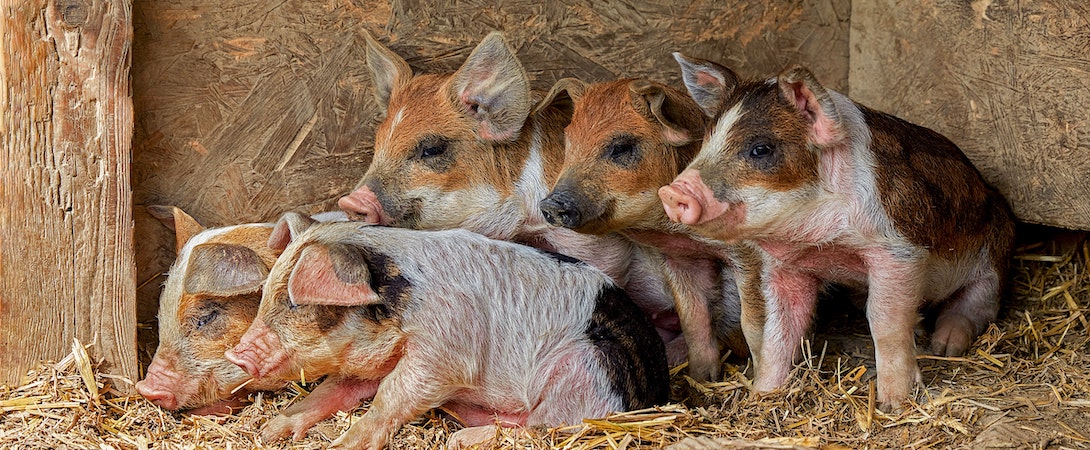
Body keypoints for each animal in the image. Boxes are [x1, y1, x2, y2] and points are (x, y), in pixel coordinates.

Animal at [225, 213, 670, 450]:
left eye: (294, 302)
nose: (235, 352)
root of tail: (660, 390)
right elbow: (333, 389)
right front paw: (271, 431)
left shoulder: (446, 351)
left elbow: (393, 396)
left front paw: (343, 445)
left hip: (585, 373)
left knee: (550, 426)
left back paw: (460, 440)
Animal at [535, 77, 748, 381]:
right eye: (568, 140)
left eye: (622, 147)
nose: (551, 203)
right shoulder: (680, 256)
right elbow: (694, 317)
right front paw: (702, 379)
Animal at [659, 53, 1016, 407]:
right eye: (707, 141)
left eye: (761, 149)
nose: (672, 192)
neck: (823, 241)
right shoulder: (785, 266)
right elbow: (779, 329)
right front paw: (761, 397)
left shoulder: (898, 251)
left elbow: (884, 320)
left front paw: (893, 404)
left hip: (995, 255)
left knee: (979, 303)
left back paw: (944, 345)